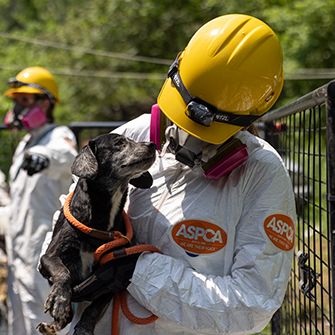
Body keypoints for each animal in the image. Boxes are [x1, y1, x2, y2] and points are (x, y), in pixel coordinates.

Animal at [37, 134, 156, 335]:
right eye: (119, 143)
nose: (153, 144)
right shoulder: (48, 257)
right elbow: (63, 272)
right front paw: (60, 300)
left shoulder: (113, 276)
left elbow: (95, 307)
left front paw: (84, 327)